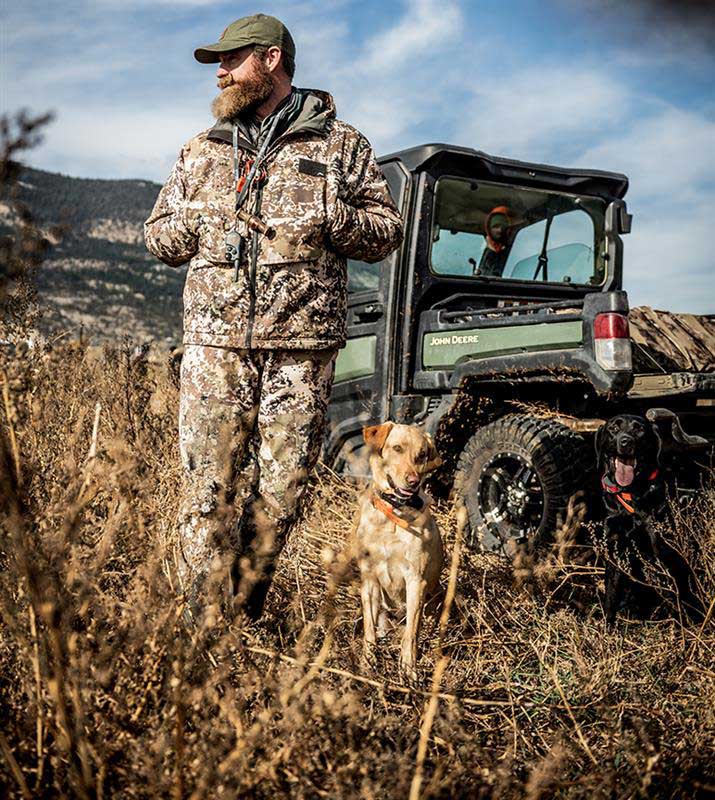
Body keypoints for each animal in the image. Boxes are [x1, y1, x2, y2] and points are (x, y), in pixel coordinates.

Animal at [356, 422, 444, 680]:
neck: (393, 514)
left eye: (422, 454)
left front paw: (408, 669)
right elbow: (369, 629)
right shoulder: (369, 578)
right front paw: (367, 662)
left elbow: (411, 634)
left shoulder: (416, 580)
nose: (413, 480)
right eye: (397, 448)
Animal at [596, 416, 704, 628]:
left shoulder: (663, 552)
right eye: (613, 428)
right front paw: (607, 631)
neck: (631, 494)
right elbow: (610, 599)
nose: (626, 441)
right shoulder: (614, 552)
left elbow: (678, 599)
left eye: (640, 430)